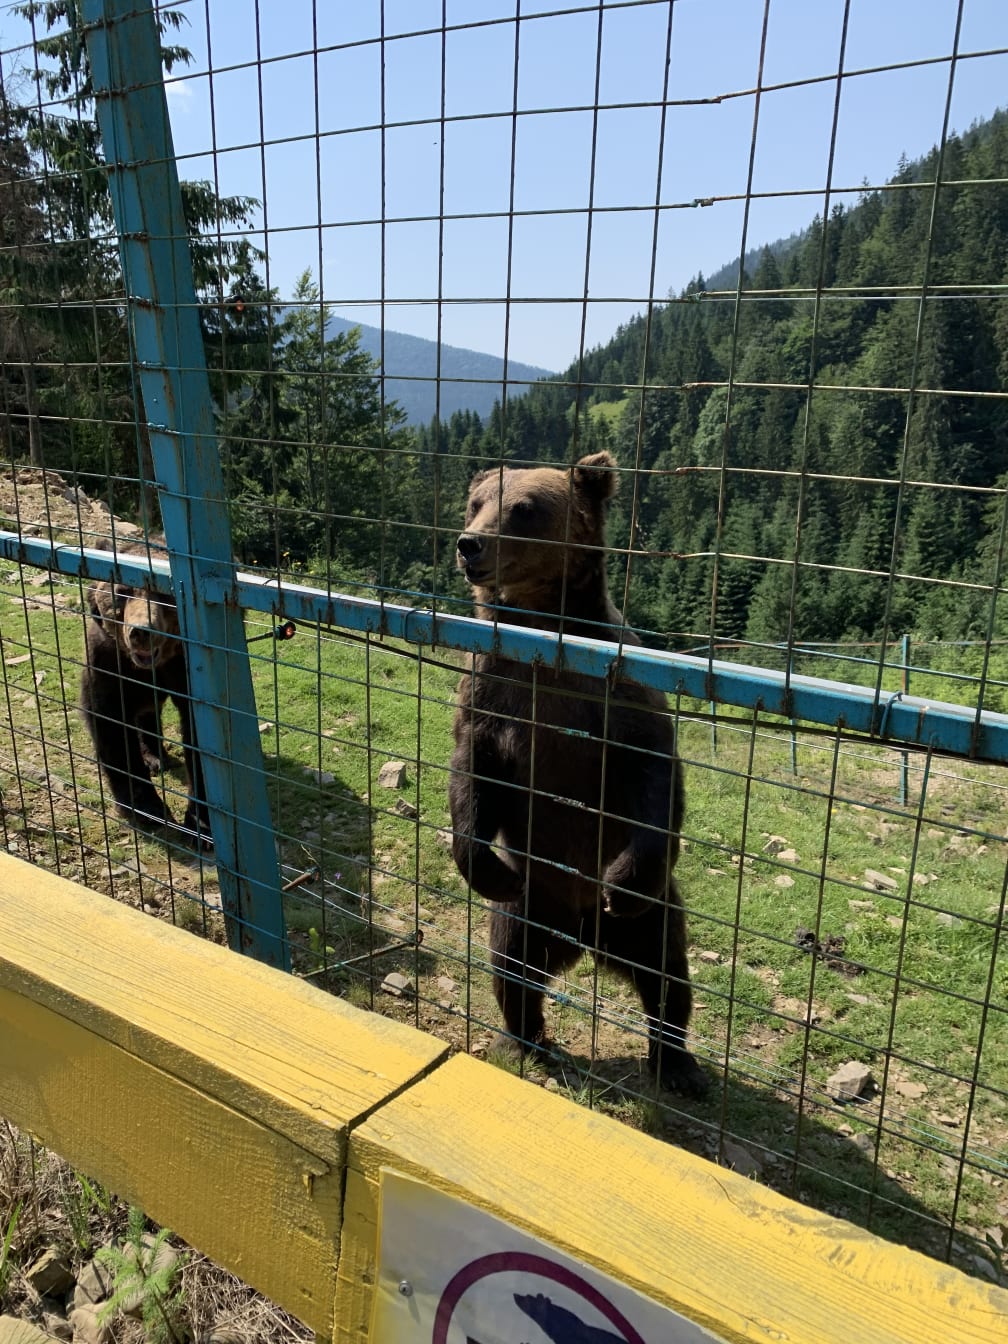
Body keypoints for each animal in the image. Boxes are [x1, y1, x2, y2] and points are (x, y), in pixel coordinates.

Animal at [80, 541, 209, 842]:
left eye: (163, 594)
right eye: (121, 591)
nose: (140, 632)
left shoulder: (185, 670)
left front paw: (199, 822)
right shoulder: (107, 662)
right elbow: (111, 726)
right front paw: (149, 807)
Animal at [448, 450, 706, 1096]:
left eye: (523, 508)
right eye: (476, 503)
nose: (469, 544)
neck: (546, 638)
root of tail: (585, 935)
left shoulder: (616, 690)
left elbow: (652, 768)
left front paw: (622, 880)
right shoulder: (492, 686)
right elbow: (472, 771)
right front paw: (478, 862)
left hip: (651, 915)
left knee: (666, 974)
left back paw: (677, 1062)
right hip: (531, 900)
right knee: (512, 963)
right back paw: (522, 1037)